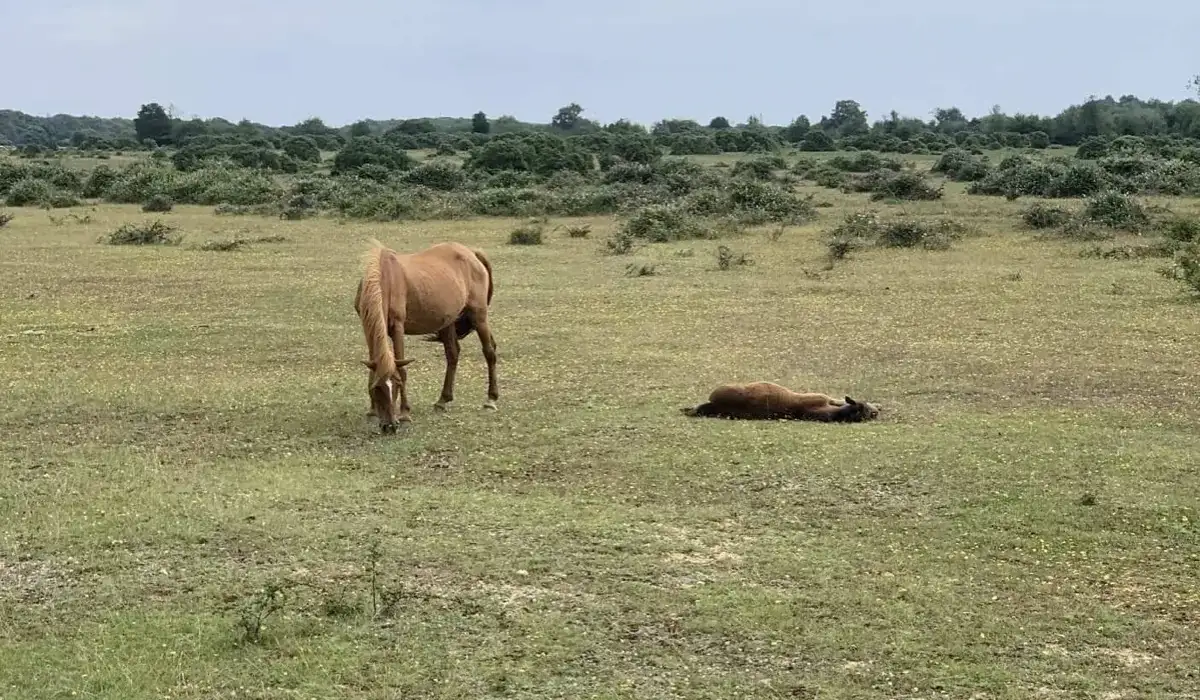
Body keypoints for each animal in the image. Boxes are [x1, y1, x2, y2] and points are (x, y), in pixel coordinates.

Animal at [354, 240, 498, 433]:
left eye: (397, 385)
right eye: (377, 388)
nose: (390, 426)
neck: (386, 277)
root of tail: (472, 253)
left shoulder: (398, 326)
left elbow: (402, 369)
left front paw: (405, 414)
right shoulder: (368, 325)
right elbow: (372, 368)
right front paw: (372, 412)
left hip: (478, 315)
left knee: (489, 351)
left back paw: (491, 399)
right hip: (449, 321)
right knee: (453, 354)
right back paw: (442, 400)